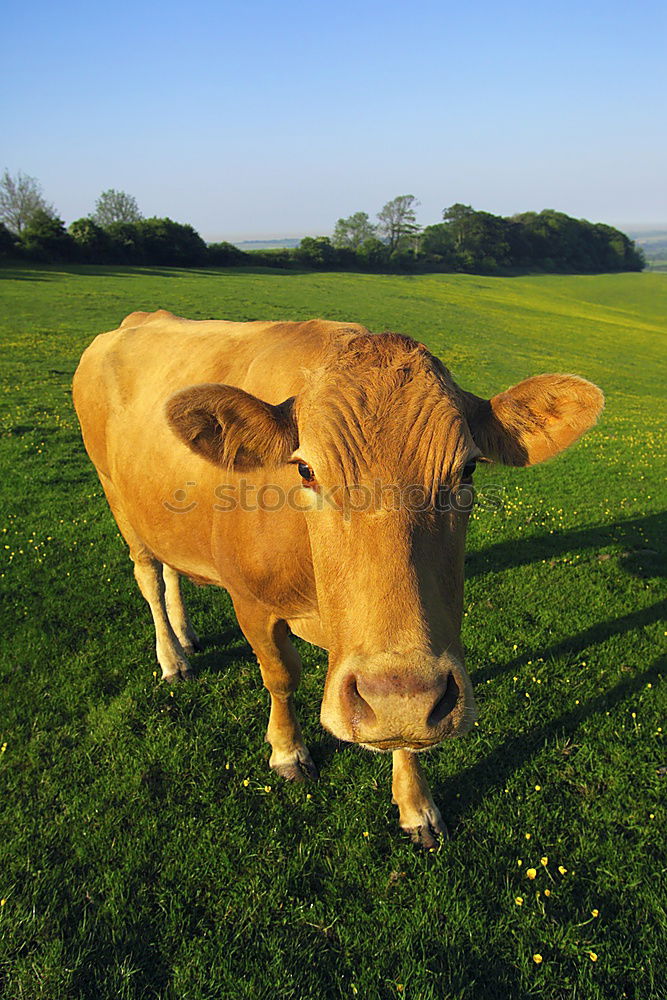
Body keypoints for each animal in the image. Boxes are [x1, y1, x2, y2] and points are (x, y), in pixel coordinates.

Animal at [73, 310, 604, 844]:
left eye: (468, 470)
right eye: (305, 469)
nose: (407, 696)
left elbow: (400, 727)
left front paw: (416, 804)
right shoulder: (252, 603)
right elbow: (281, 675)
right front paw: (287, 751)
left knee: (172, 570)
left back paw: (185, 634)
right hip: (117, 498)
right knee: (150, 578)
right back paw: (172, 658)